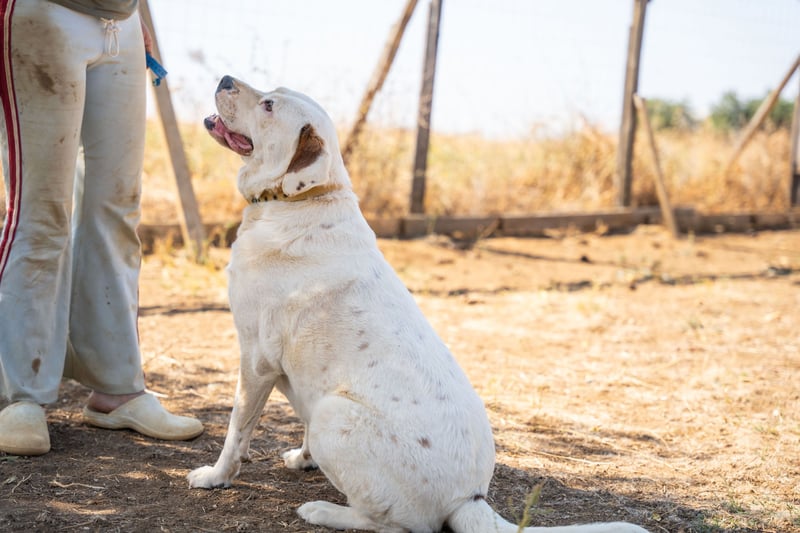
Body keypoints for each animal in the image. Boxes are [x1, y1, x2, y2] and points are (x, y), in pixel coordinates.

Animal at [187, 75, 648, 533]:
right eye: (272, 92)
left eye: (268, 106)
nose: (225, 79)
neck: (299, 199)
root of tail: (469, 498)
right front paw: (303, 459)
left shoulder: (256, 360)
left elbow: (237, 430)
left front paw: (215, 476)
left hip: (334, 414)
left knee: (397, 524)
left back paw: (323, 510)